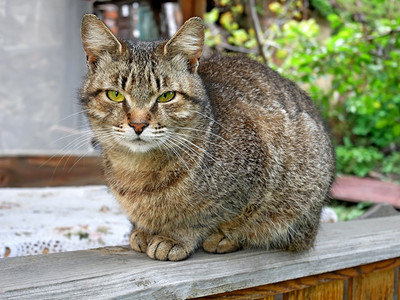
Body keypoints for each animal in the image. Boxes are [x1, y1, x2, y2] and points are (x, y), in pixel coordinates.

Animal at [80, 14, 334, 260]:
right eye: (115, 95)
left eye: (166, 96)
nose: (138, 124)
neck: (137, 172)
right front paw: (142, 230)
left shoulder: (254, 175)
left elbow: (202, 217)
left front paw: (175, 237)